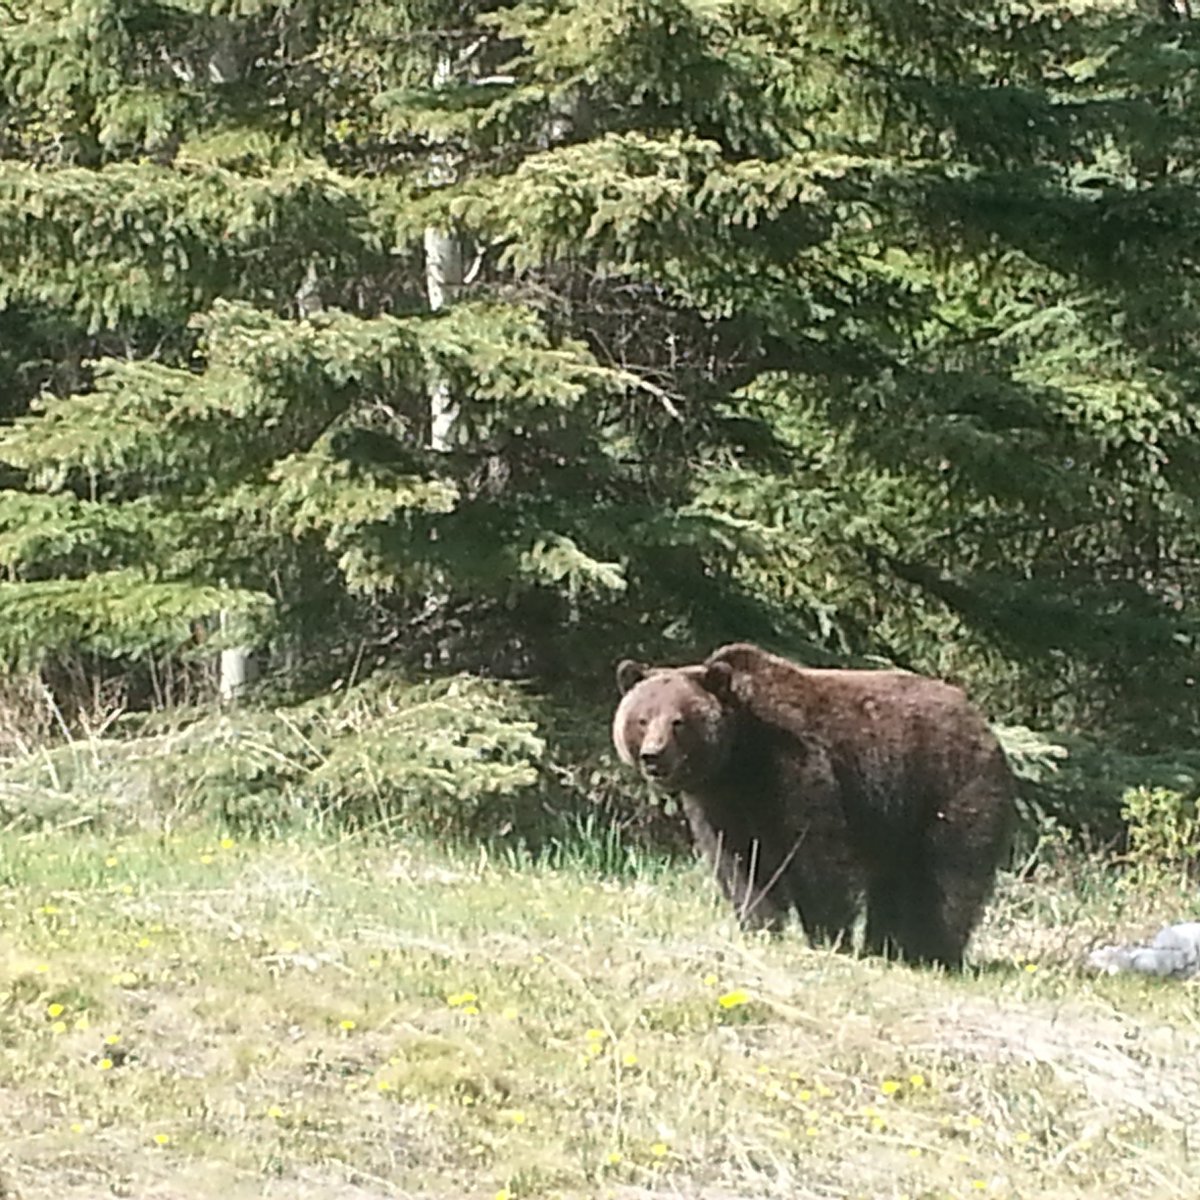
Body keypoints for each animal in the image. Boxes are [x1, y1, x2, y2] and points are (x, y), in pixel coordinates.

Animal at [611, 641, 1016, 970]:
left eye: (678, 721)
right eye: (642, 718)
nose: (653, 756)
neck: (739, 759)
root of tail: (983, 723)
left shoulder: (797, 771)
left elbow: (817, 856)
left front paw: (826, 936)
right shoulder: (721, 806)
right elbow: (741, 866)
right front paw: (759, 925)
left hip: (947, 787)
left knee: (947, 876)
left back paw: (932, 952)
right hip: (896, 820)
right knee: (894, 880)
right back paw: (885, 947)